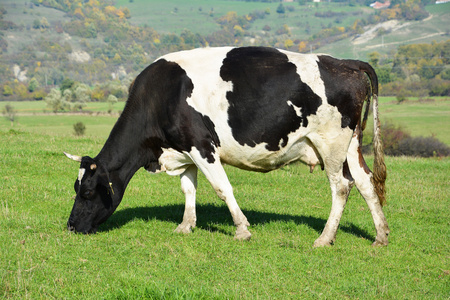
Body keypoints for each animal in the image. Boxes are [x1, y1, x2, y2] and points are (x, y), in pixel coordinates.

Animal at [64, 47, 390, 247]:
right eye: (75, 189)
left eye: (88, 192)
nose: (70, 227)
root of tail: (345, 63)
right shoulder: (184, 150)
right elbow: (188, 189)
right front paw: (186, 226)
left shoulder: (201, 145)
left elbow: (222, 188)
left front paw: (242, 229)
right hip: (351, 144)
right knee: (365, 182)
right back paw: (381, 235)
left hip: (331, 142)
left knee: (342, 186)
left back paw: (325, 238)